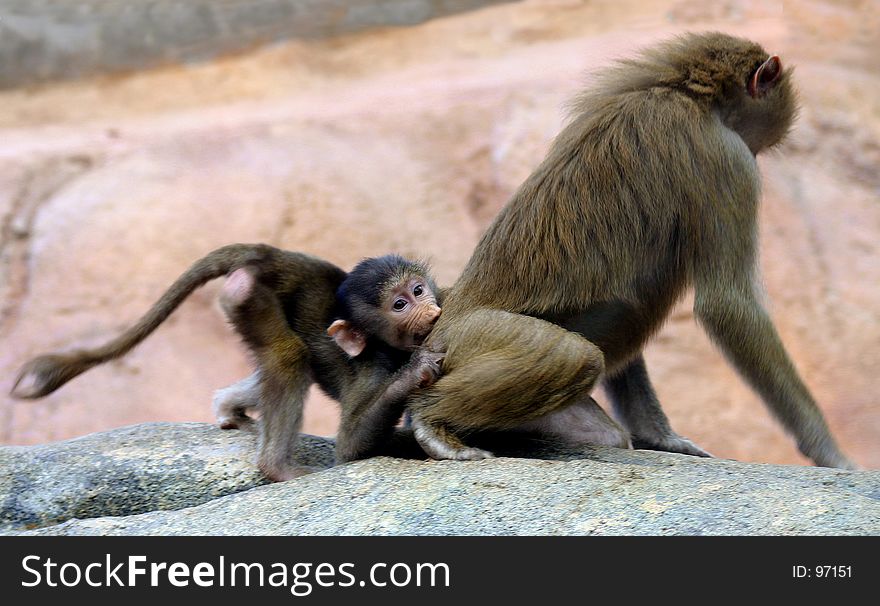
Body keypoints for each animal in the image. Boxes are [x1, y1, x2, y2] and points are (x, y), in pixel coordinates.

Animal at [10, 245, 444, 482]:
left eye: (419, 290)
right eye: (400, 304)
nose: (430, 310)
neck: (389, 347)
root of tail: (272, 256)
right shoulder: (374, 368)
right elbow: (352, 447)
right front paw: (414, 372)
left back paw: (228, 408)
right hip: (248, 297)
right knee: (288, 354)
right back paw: (276, 468)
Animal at [410, 32, 856, 470]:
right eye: (757, 147)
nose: (759, 152)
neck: (685, 93)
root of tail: (447, 316)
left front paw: (662, 438)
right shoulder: (728, 159)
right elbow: (729, 305)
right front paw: (831, 455)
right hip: (474, 337)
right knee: (573, 357)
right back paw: (430, 420)